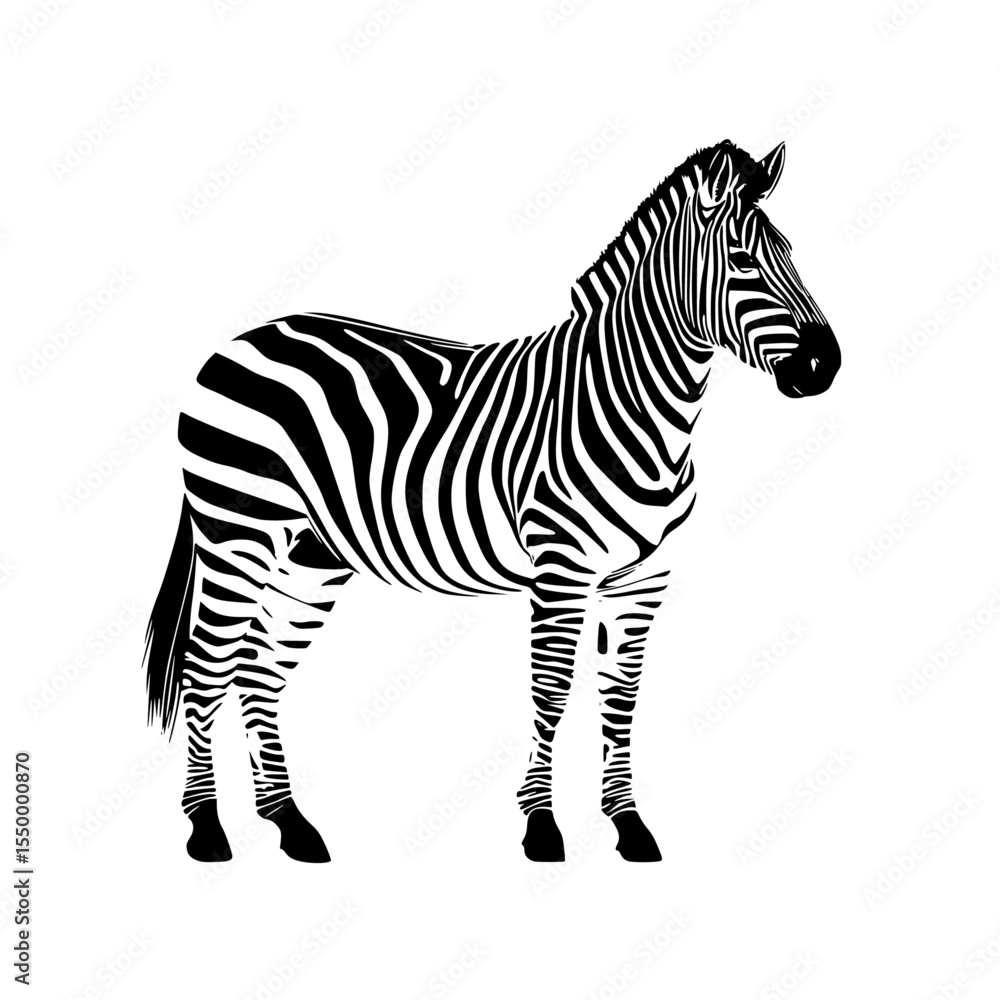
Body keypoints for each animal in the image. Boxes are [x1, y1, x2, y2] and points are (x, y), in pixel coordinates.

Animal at [144, 139, 840, 865]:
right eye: (742, 258)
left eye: (791, 250)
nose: (827, 365)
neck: (636, 406)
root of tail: (238, 340)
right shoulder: (561, 568)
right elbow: (552, 690)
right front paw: (542, 826)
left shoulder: (644, 578)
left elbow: (621, 695)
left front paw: (628, 825)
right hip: (237, 531)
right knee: (204, 665)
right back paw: (207, 829)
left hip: (312, 554)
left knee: (260, 670)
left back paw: (291, 824)